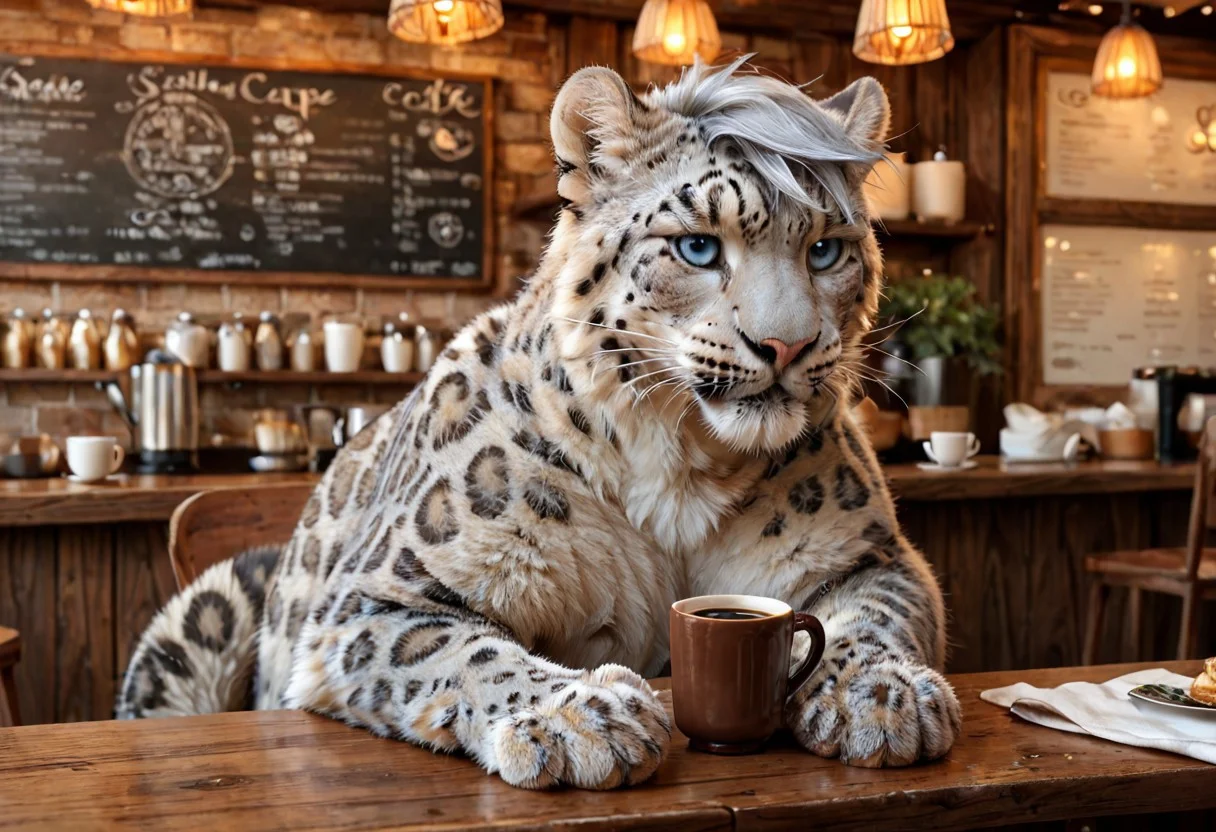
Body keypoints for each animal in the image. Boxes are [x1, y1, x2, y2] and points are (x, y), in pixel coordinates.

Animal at [117, 57, 962, 789]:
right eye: (696, 245)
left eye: (825, 250)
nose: (787, 345)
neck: (681, 472)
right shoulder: (376, 598)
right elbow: (463, 652)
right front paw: (583, 714)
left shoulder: (870, 553)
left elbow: (875, 617)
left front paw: (881, 695)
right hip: (208, 612)